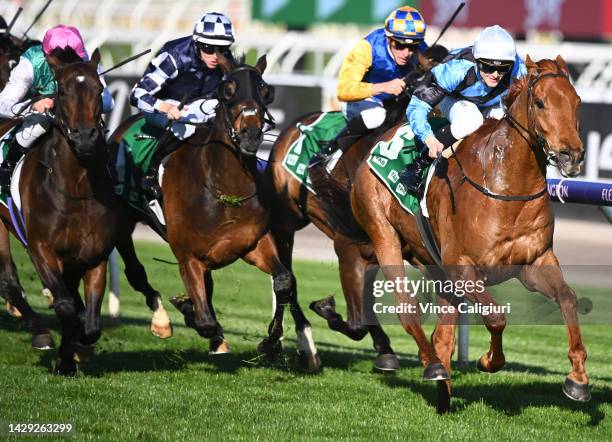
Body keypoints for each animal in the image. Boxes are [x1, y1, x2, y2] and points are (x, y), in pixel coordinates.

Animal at [158, 51, 320, 370]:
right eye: (228, 89)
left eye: (266, 91)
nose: (251, 134)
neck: (223, 189)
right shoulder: (187, 254)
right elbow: (205, 320)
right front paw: (191, 310)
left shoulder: (253, 241)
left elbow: (284, 281)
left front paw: (270, 343)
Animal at [314, 55, 584, 410]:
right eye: (540, 102)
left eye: (577, 102)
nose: (572, 156)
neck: (506, 187)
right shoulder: (464, 268)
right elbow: (496, 316)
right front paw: (488, 361)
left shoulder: (534, 263)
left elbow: (568, 298)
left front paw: (578, 379)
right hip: (383, 235)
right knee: (407, 310)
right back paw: (433, 367)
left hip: (432, 263)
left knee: (441, 335)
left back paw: (442, 391)